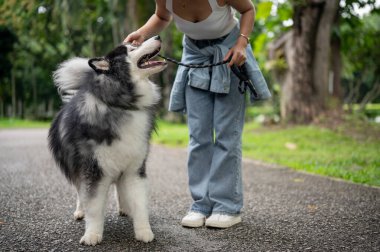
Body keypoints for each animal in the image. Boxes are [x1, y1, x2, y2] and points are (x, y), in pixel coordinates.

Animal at [47, 36, 166, 245]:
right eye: (131, 48)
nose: (158, 37)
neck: (121, 104)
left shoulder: (135, 168)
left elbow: (140, 202)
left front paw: (144, 231)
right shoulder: (93, 170)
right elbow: (94, 205)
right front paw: (92, 234)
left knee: (120, 187)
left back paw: (125, 208)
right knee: (80, 192)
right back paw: (81, 211)